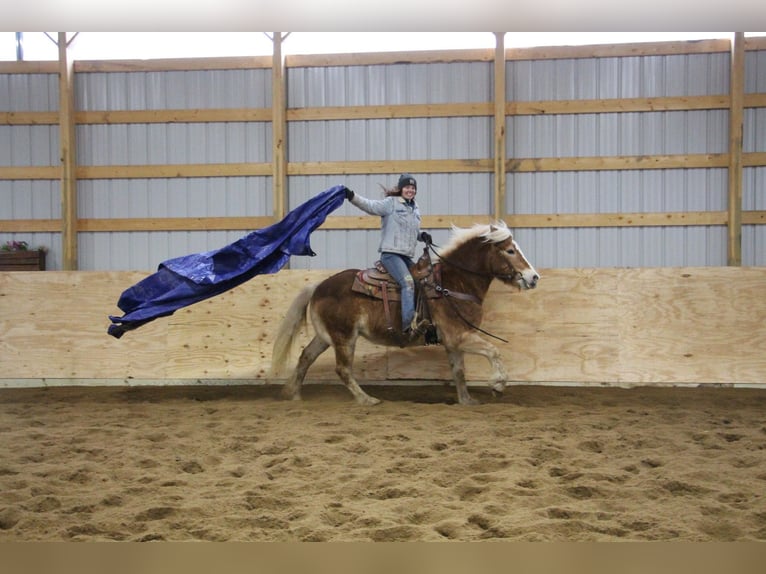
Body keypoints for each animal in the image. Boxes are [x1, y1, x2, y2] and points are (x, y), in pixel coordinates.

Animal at [270, 223, 540, 408]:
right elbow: (493, 351)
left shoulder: (453, 342)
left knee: (306, 357)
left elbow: (459, 371)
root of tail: (318, 286)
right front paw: (498, 385)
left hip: (327, 337)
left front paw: (466, 400)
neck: (452, 284)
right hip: (345, 337)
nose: (534, 277)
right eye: (510, 250)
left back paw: (293, 395)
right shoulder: (458, 335)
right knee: (343, 369)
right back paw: (367, 399)